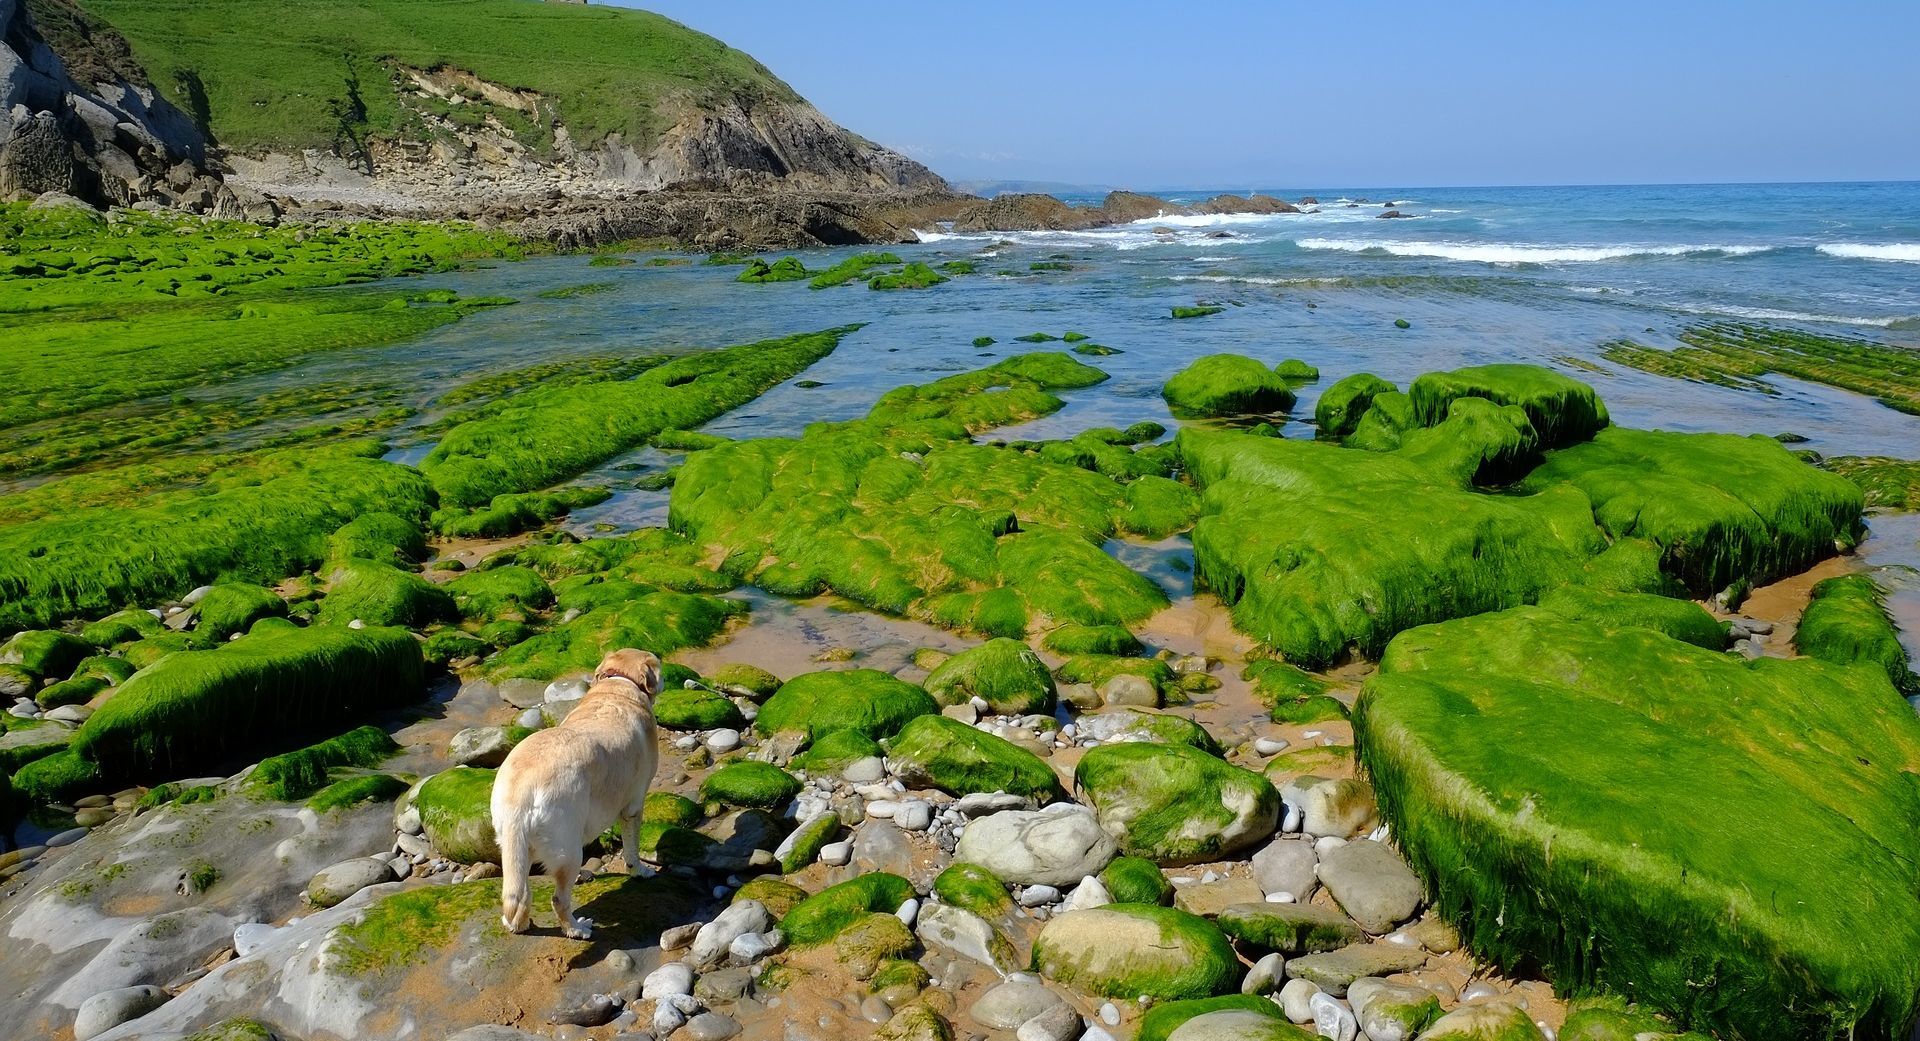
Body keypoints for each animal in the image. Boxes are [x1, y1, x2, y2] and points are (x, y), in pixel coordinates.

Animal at [491, 649, 664, 941]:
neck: (618, 685)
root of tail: (521, 791)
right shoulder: (633, 807)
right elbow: (632, 850)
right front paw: (640, 871)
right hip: (568, 848)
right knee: (559, 899)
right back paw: (577, 929)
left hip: (514, 845)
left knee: (520, 894)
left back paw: (518, 925)